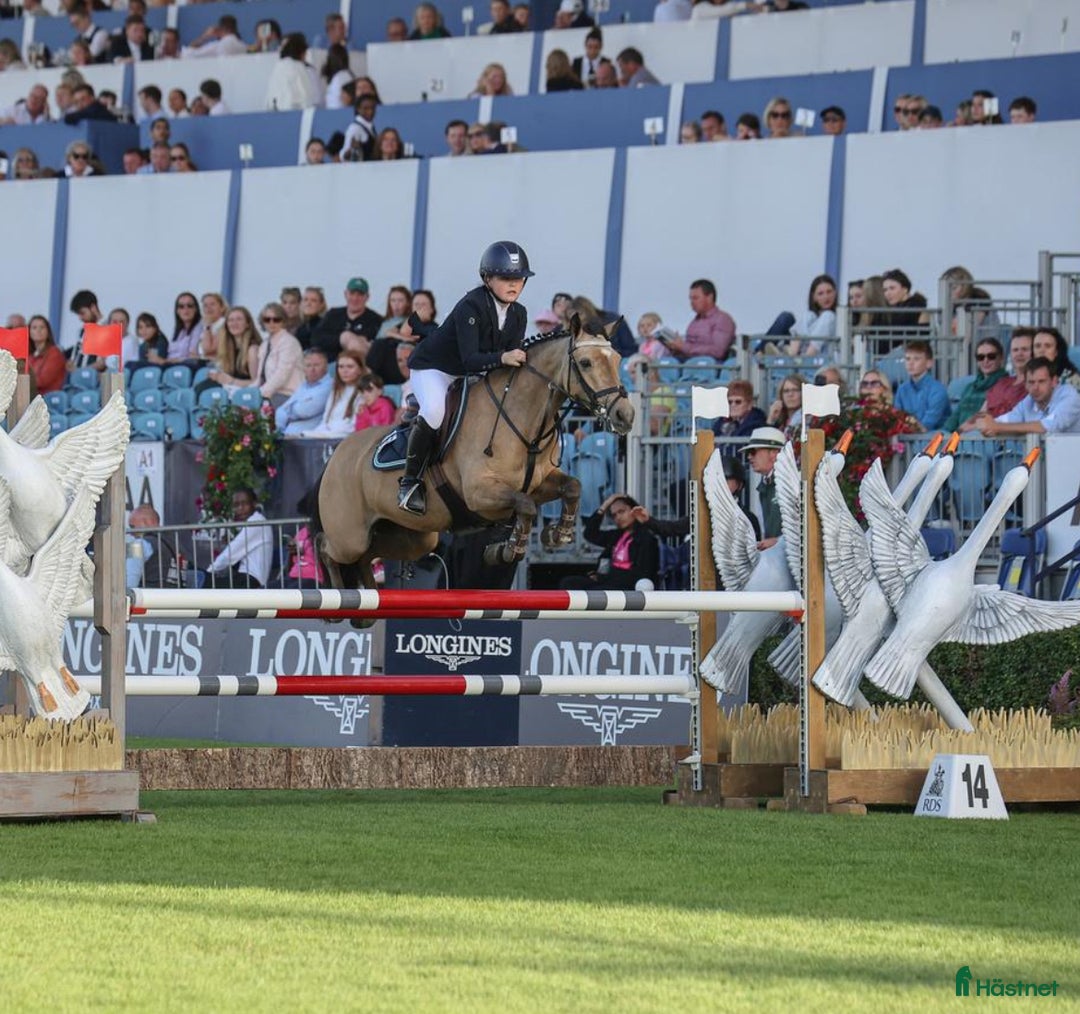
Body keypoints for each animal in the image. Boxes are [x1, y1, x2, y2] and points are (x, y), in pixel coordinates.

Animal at [312, 314, 634, 590]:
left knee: (367, 554)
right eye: (585, 362)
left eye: (618, 359)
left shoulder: (539, 482)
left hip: (413, 537)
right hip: (350, 535)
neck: (522, 418)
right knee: (327, 546)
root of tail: (337, 454)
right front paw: (510, 548)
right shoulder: (480, 494)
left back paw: (365, 607)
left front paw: (558, 533)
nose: (625, 415)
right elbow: (526, 505)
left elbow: (572, 487)